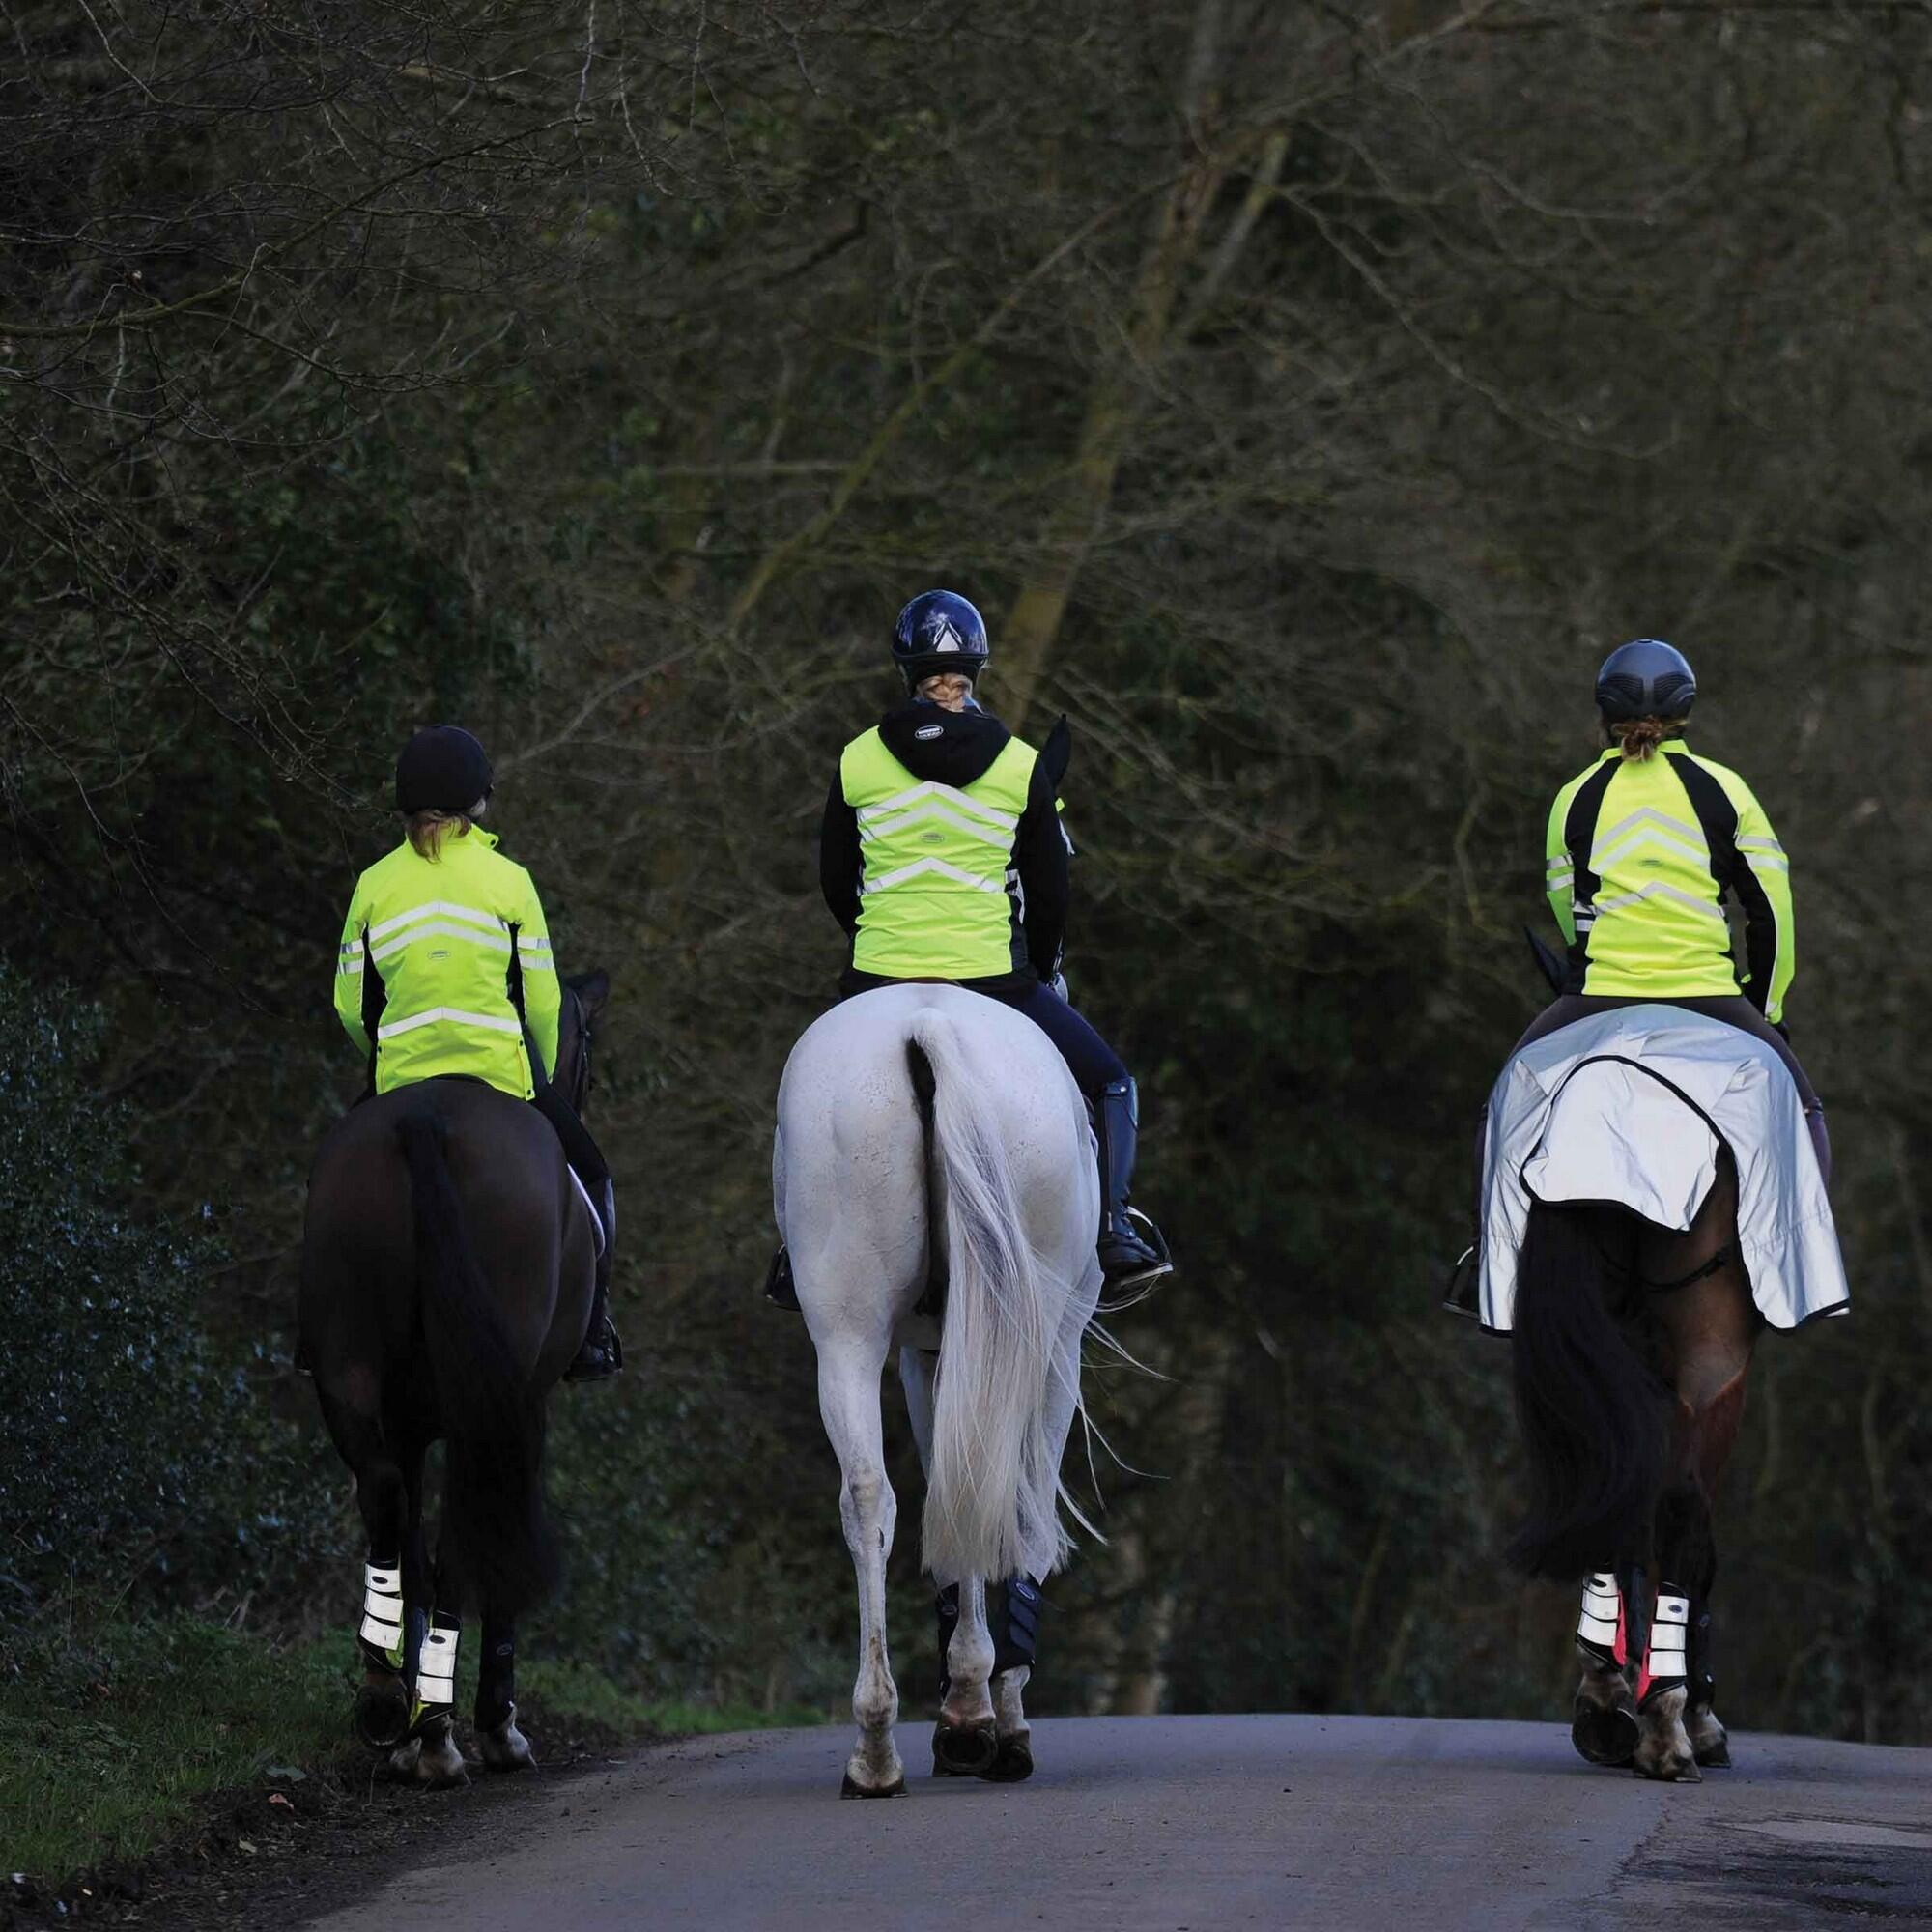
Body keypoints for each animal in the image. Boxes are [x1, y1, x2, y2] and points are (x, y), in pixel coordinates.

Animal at [298, 974, 603, 1785]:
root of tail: (425, 1121)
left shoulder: (406, 1424)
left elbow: (407, 1538)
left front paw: (408, 1719)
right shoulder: (527, 1406)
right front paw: (493, 1727)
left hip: (346, 1366)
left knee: (383, 1496)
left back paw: (389, 1704)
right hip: (493, 1400)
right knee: (466, 1530)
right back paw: (443, 1734)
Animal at [769, 989, 1105, 1801]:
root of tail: (926, 1027)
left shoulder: (923, 1350)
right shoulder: (1051, 1346)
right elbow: (1014, 1505)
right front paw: (985, 1716)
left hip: (848, 1329)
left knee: (869, 1496)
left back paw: (875, 1747)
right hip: (1041, 1330)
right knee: (1004, 1494)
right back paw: (969, 1723)